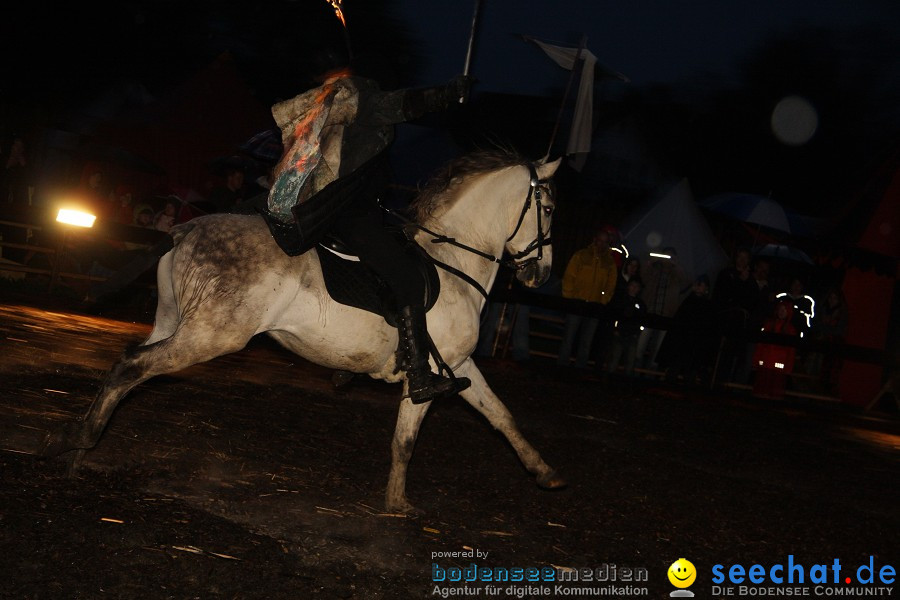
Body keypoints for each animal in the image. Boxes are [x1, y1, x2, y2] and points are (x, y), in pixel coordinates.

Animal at [44, 148, 564, 508]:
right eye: (549, 208)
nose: (540, 275)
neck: (454, 262)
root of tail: (184, 229)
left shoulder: (461, 363)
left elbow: (501, 416)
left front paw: (544, 472)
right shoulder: (433, 373)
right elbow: (406, 440)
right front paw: (398, 504)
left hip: (175, 321)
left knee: (126, 365)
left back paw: (77, 447)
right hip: (211, 335)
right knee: (132, 367)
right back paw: (80, 443)